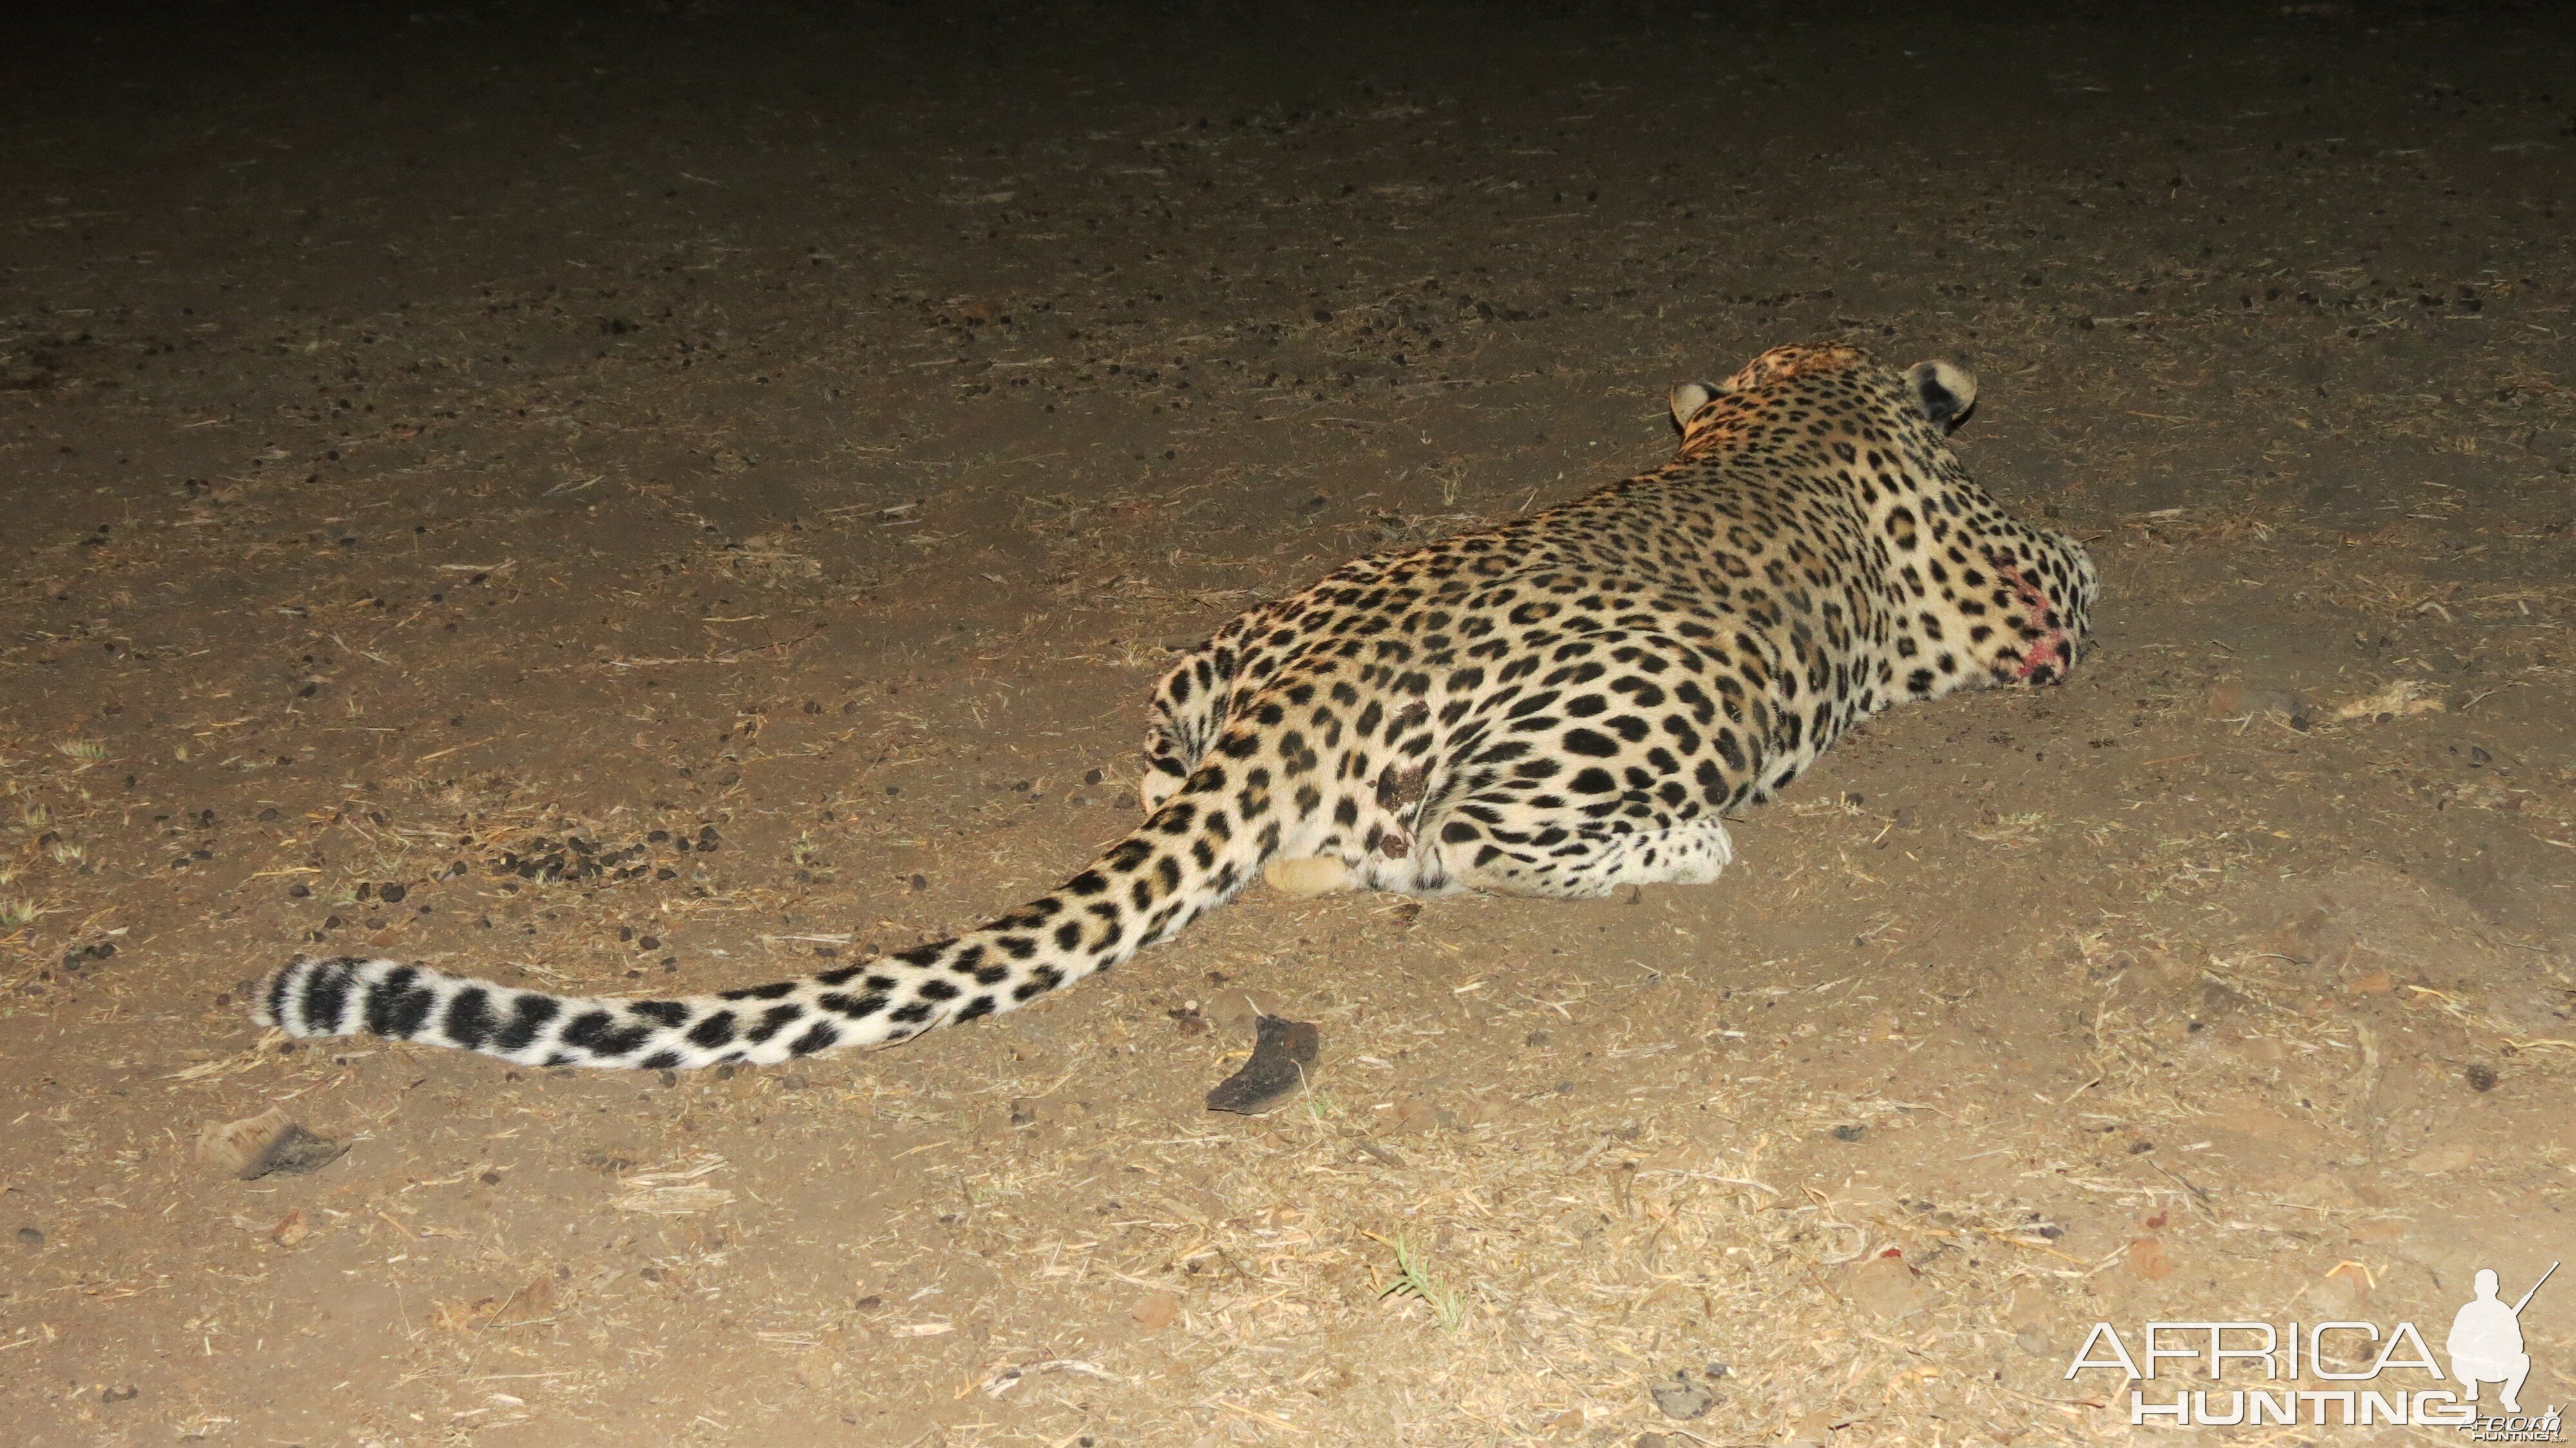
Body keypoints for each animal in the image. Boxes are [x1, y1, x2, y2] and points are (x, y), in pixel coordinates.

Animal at [251, 335, 2092, 1062]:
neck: (1789, 401)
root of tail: (1293, 697)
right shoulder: (2008, 588)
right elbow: (2078, 574)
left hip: (1212, 659)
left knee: (1195, 777)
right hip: (1614, 729)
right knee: (1487, 837)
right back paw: (1685, 847)